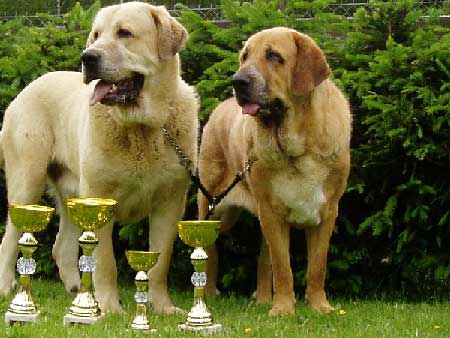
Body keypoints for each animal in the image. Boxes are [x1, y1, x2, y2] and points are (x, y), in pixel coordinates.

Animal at [0, 1, 198, 314]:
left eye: (125, 33)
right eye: (95, 35)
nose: (88, 57)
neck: (142, 129)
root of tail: (26, 88)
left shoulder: (170, 202)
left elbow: (160, 261)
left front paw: (162, 307)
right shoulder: (99, 197)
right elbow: (105, 263)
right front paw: (109, 309)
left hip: (70, 192)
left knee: (60, 246)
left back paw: (74, 289)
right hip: (27, 181)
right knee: (9, 240)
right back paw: (7, 287)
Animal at [200, 27, 352, 316]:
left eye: (274, 56)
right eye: (245, 56)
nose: (238, 81)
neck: (299, 149)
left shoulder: (327, 213)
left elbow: (317, 266)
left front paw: (319, 306)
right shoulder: (271, 214)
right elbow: (283, 267)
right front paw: (283, 310)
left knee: (262, 260)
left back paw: (261, 299)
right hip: (213, 208)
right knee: (210, 249)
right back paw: (209, 293)